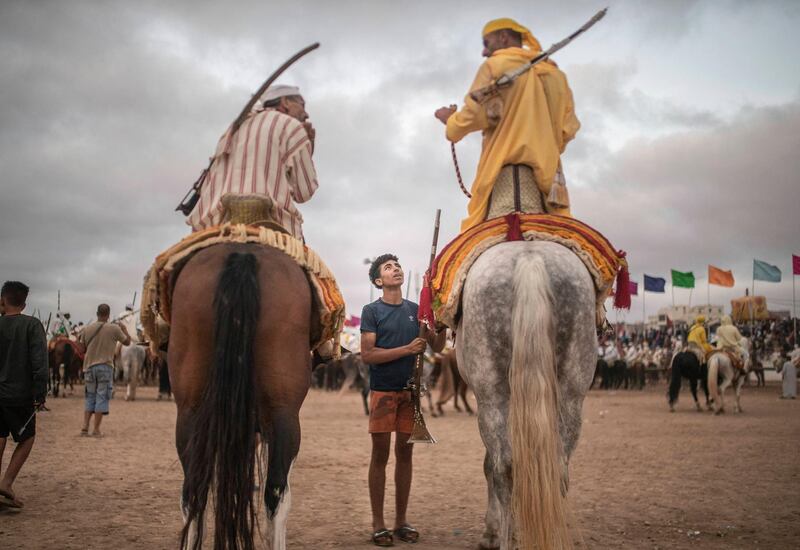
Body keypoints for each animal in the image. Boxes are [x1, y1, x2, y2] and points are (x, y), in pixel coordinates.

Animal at [454, 243, 596, 550]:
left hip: (491, 394)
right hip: (572, 391)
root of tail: (530, 257)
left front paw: (493, 533)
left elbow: (490, 465)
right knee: (556, 468)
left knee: (505, 468)